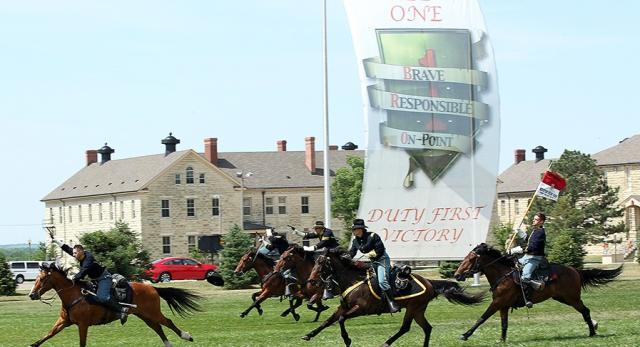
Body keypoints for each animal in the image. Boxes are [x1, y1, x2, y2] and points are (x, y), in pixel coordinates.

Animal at [27, 264, 201, 347]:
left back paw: (187, 336)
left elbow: (82, 343)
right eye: (36, 278)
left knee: (168, 323)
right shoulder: (63, 322)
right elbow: (49, 334)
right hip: (145, 315)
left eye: (42, 279)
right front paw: (33, 344)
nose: (32, 295)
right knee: (158, 328)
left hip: (153, 313)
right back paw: (169, 344)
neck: (75, 295)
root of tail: (152, 288)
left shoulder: (83, 325)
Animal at [302, 251, 482, 346]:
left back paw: (386, 343)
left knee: (405, 328)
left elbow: (340, 319)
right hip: (418, 310)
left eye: (321, 264)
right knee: (427, 328)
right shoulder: (344, 307)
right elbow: (328, 321)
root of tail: (429, 282)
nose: (311, 281)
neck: (352, 280)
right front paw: (309, 335)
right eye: (315, 262)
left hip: (413, 307)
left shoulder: (360, 309)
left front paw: (347, 339)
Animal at [452, 243, 624, 344]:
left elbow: (481, 318)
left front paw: (465, 335)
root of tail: (575, 270)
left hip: (572, 298)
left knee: (585, 311)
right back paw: (593, 328)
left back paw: (592, 332)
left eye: (471, 258)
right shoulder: (503, 306)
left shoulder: (497, 303)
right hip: (563, 298)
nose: (457, 275)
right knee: (585, 311)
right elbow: (504, 324)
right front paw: (502, 340)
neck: (503, 275)